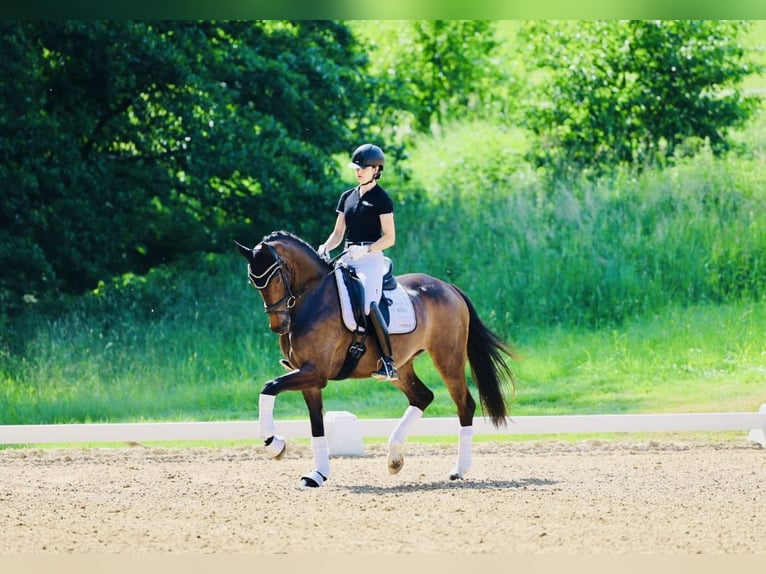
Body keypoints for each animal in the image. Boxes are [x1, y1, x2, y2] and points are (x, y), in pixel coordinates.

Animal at [237, 232, 520, 488]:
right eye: (254, 282)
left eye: (276, 277)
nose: (278, 326)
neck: (312, 298)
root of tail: (449, 288)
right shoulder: (309, 378)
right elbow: (316, 425)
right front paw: (317, 475)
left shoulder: (315, 372)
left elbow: (269, 387)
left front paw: (274, 444)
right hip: (401, 367)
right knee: (422, 397)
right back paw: (394, 459)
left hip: (448, 359)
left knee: (465, 405)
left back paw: (459, 470)